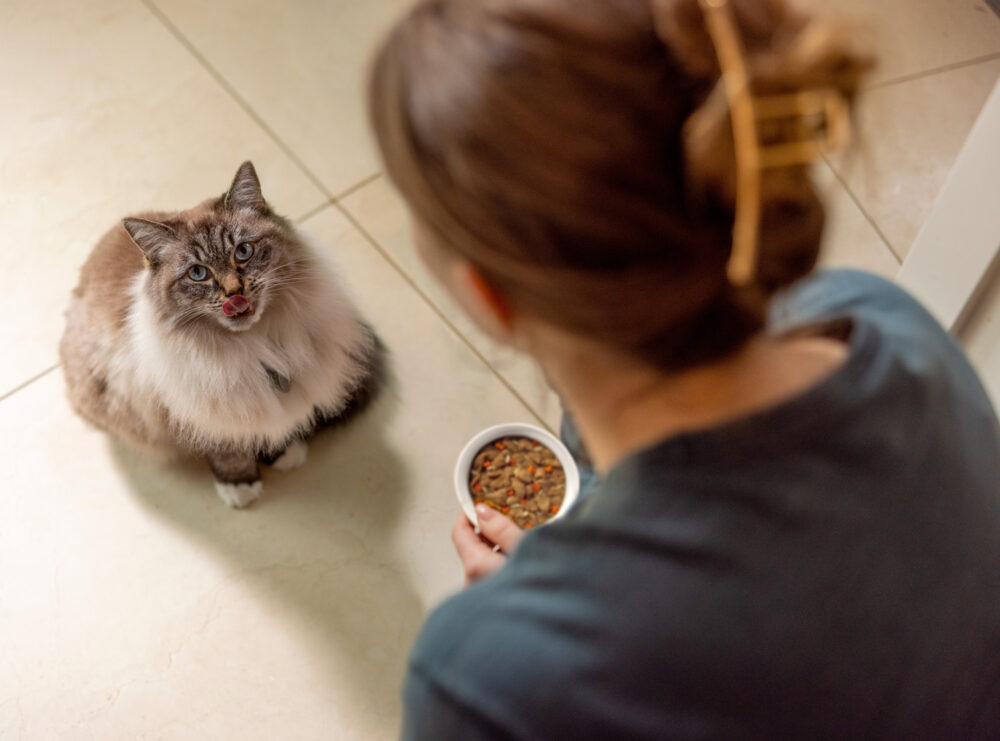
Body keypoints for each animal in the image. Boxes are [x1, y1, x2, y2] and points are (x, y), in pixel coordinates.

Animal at [60, 162, 382, 506]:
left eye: (243, 252)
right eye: (198, 273)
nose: (234, 293)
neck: (256, 346)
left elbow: (274, 425)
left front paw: (281, 453)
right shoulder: (200, 407)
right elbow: (228, 448)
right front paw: (240, 485)